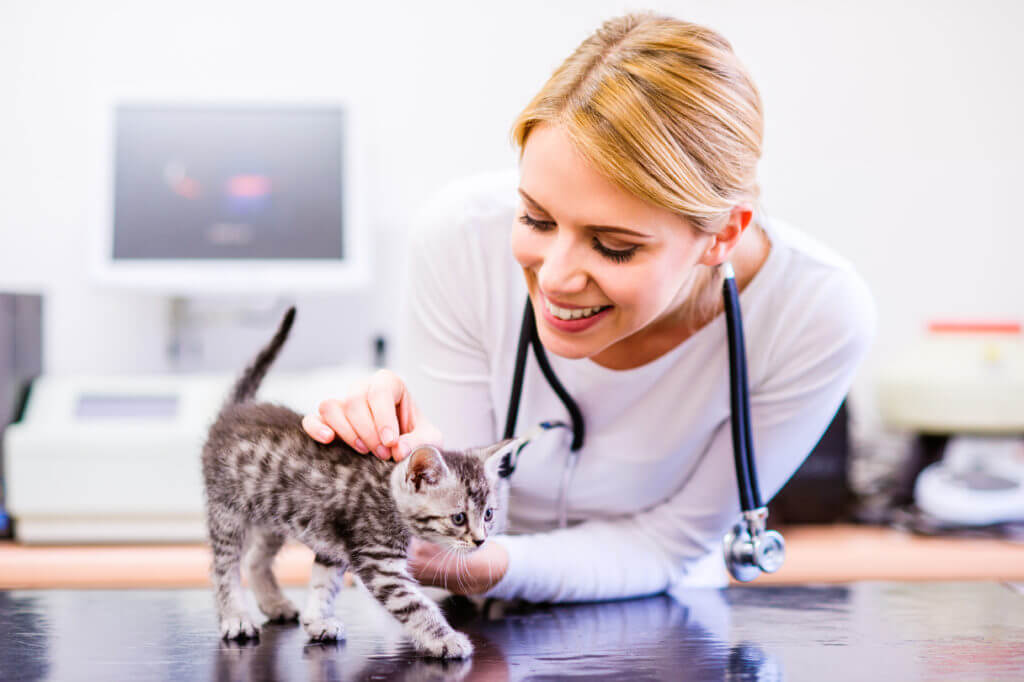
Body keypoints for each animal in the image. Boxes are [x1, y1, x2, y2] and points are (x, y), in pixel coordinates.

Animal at [199, 305, 507, 655]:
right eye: (458, 518)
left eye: (488, 514)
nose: (481, 541)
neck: (387, 496)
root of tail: (233, 411)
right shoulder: (380, 563)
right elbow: (415, 605)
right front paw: (447, 639)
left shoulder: (335, 548)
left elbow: (324, 583)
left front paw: (317, 619)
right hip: (227, 511)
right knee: (223, 566)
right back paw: (235, 616)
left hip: (271, 516)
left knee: (255, 560)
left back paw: (274, 603)